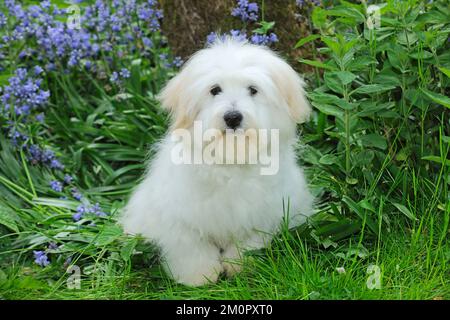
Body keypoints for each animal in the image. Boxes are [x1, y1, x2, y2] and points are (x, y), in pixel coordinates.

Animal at [119, 38, 312, 286]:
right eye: (215, 90)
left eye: (253, 90)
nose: (233, 117)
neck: (229, 157)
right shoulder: (182, 219)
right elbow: (191, 250)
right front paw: (199, 277)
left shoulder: (259, 217)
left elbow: (246, 245)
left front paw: (240, 269)